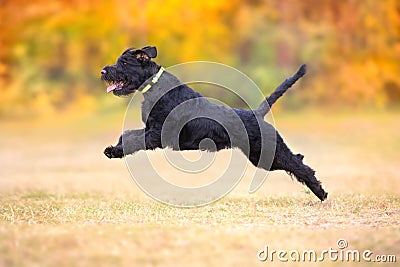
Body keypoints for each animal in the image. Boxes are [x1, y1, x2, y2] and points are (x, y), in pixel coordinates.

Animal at [101, 46, 326, 201]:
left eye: (124, 63)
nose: (103, 71)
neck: (154, 86)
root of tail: (257, 114)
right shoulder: (150, 130)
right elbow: (128, 134)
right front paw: (113, 148)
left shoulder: (156, 134)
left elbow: (133, 140)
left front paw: (114, 151)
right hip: (261, 158)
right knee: (297, 159)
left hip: (269, 154)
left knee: (299, 165)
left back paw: (321, 193)